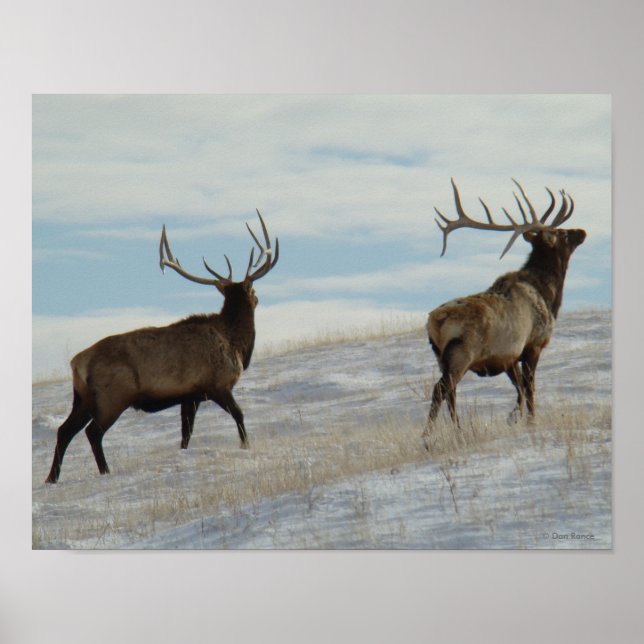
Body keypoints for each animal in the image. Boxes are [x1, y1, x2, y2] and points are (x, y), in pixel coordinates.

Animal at [45, 210, 279, 484]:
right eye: (252, 289)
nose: (258, 297)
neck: (236, 344)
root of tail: (76, 363)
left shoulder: (190, 395)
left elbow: (186, 434)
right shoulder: (217, 385)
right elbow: (239, 414)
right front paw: (245, 445)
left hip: (82, 398)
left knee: (64, 430)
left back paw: (51, 478)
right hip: (113, 395)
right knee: (93, 432)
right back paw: (105, 470)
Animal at [424, 178, 586, 438]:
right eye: (562, 232)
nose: (581, 231)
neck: (549, 294)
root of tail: (435, 322)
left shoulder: (509, 355)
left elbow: (518, 388)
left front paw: (514, 416)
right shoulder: (533, 344)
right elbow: (529, 388)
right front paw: (530, 421)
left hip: (441, 356)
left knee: (450, 392)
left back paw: (458, 429)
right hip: (461, 353)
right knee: (441, 389)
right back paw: (428, 435)